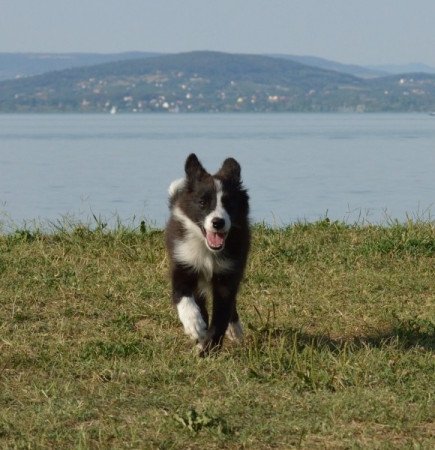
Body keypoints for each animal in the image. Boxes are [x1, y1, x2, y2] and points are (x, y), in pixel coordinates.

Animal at [165, 155, 250, 356]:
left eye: (229, 203)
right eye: (203, 203)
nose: (218, 222)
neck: (208, 250)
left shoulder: (228, 273)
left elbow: (221, 314)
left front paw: (207, 350)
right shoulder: (183, 262)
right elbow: (182, 295)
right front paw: (195, 325)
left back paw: (234, 329)